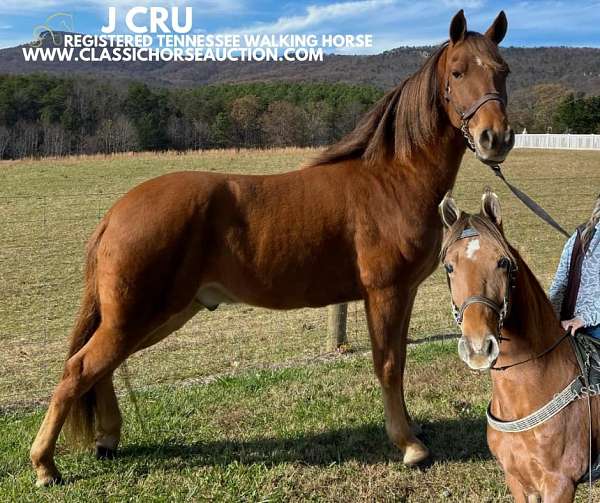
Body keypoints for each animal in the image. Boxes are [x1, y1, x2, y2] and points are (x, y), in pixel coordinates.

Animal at [30, 9, 512, 486]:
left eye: (502, 70)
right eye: (457, 71)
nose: (496, 138)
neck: (391, 179)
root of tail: (116, 212)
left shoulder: (404, 293)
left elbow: (399, 360)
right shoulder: (385, 292)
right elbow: (389, 364)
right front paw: (410, 446)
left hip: (155, 315)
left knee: (103, 368)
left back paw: (107, 440)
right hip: (137, 316)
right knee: (79, 369)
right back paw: (44, 465)